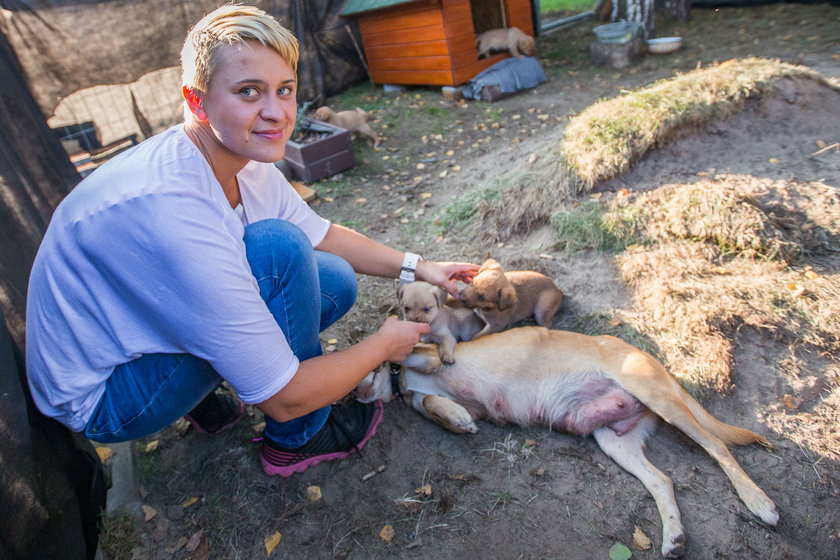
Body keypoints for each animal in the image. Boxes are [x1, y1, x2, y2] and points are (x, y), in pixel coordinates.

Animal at [356, 326, 780, 556]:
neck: (400, 383)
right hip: (615, 441)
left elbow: (416, 363)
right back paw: (673, 538)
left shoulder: (426, 355)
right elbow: (430, 402)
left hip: (658, 398)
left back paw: (758, 502)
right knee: (663, 481)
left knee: (718, 447)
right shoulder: (436, 398)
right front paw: (454, 418)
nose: (354, 394)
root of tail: (654, 361)